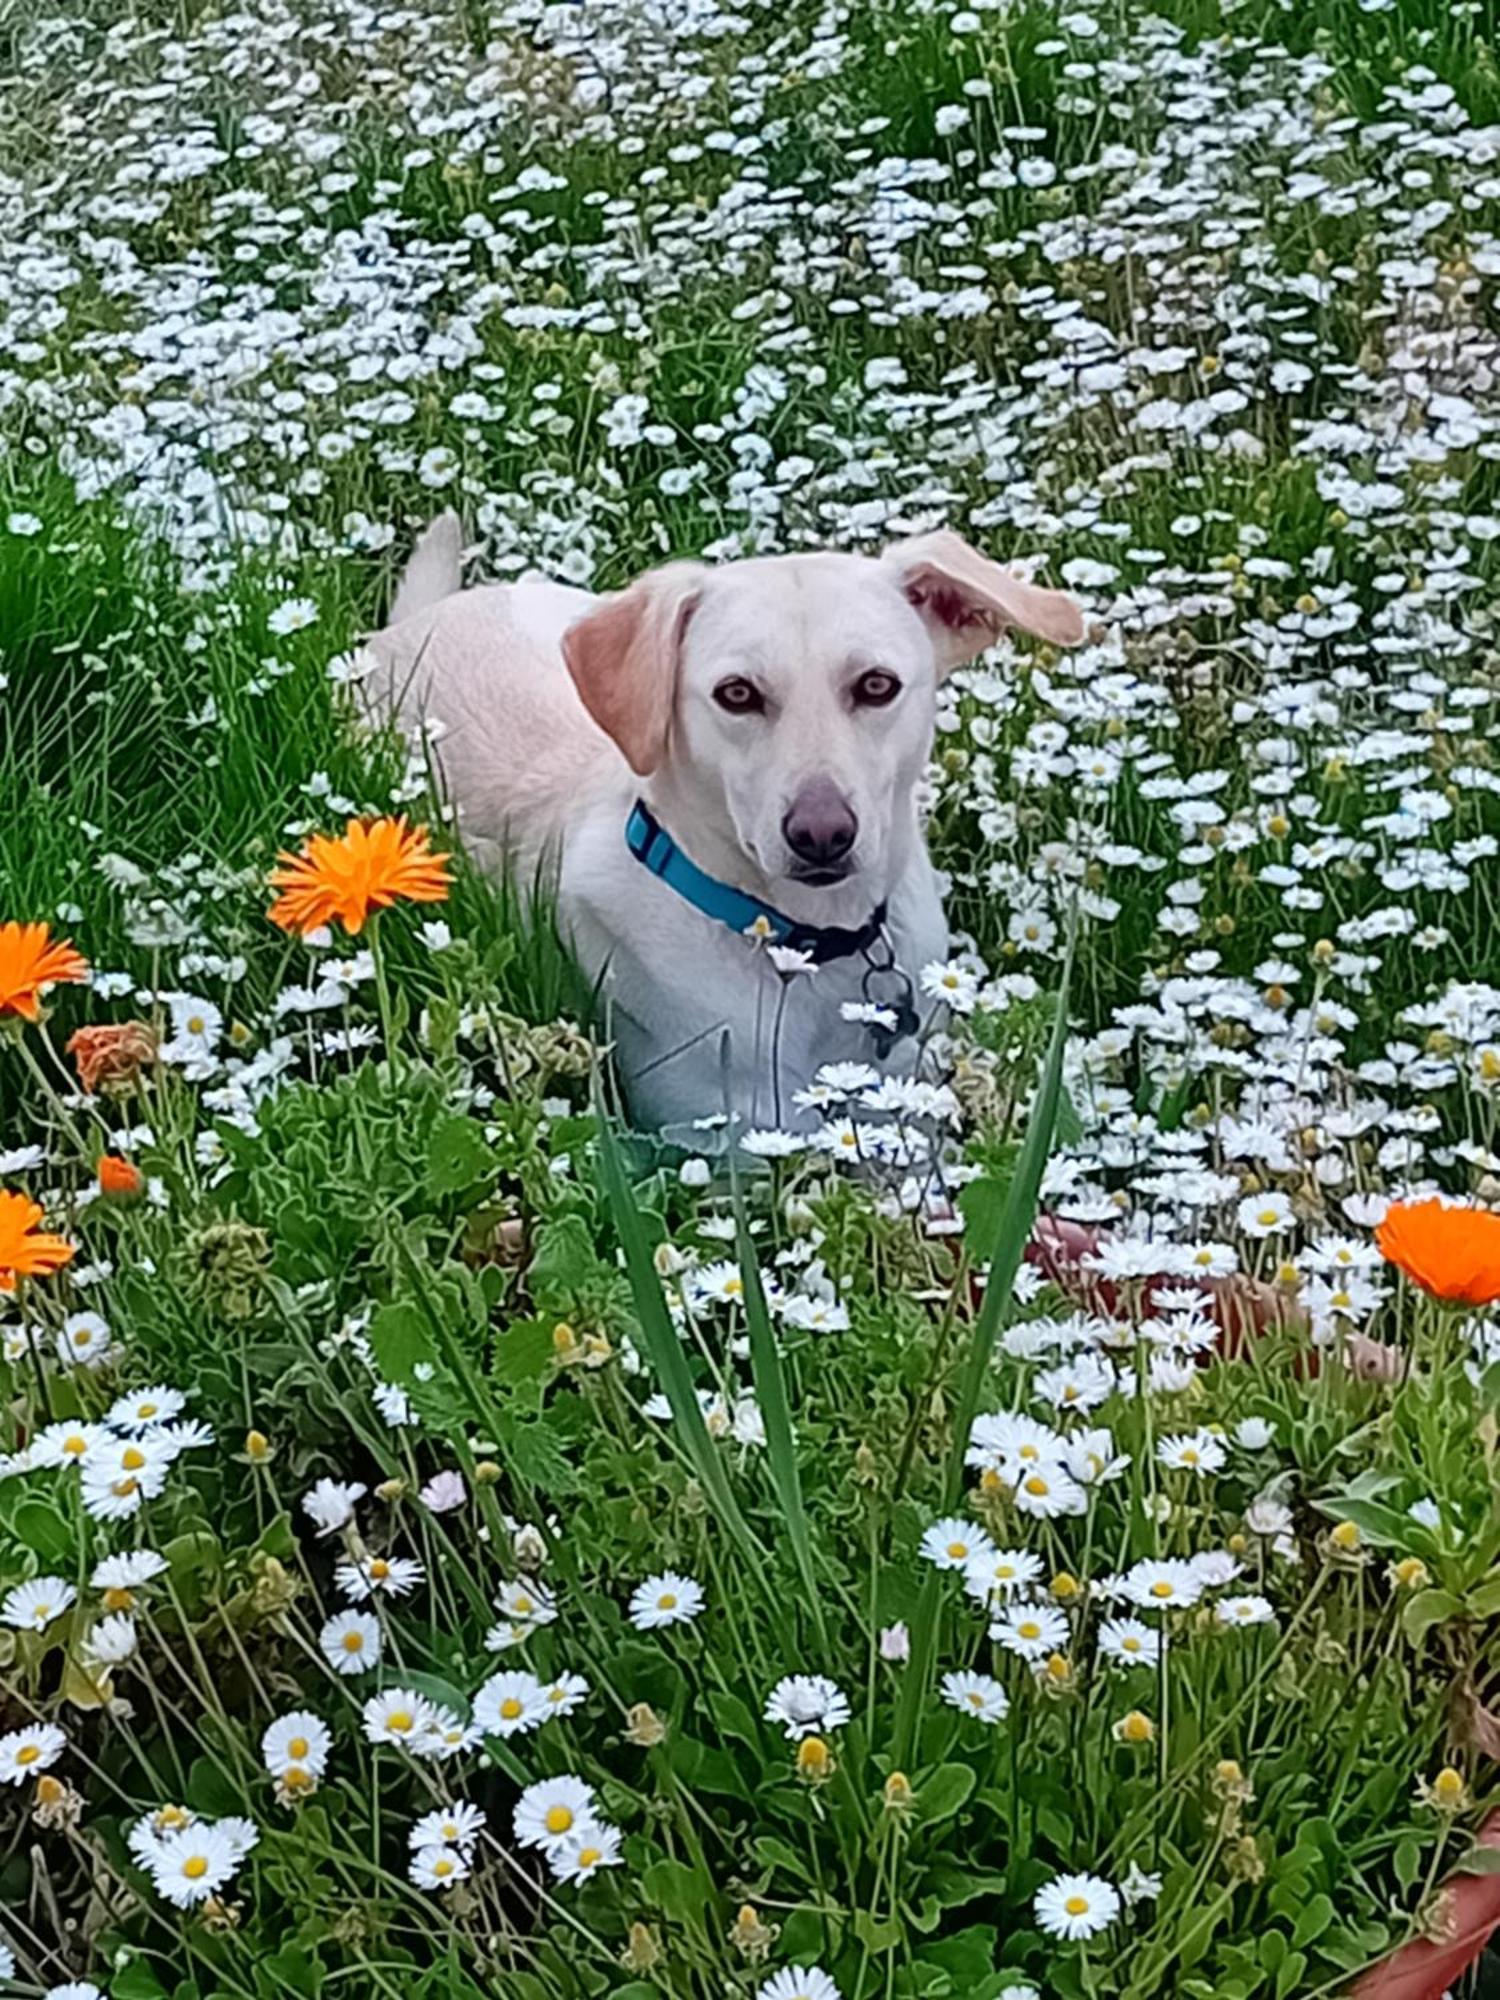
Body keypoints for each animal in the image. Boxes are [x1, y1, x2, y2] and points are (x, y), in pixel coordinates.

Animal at [370, 520, 1088, 1144]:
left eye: (877, 685)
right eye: (736, 694)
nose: (822, 834)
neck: (811, 944)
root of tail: (414, 624)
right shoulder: (728, 1134)